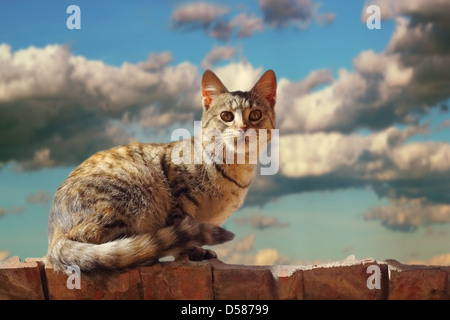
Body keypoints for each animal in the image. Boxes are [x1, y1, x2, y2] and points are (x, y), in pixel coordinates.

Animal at [46, 69, 278, 274]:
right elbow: (182, 230)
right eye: (226, 116)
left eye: (255, 114)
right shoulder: (179, 197)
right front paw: (192, 252)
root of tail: (54, 235)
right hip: (127, 198)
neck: (237, 166)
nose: (243, 128)